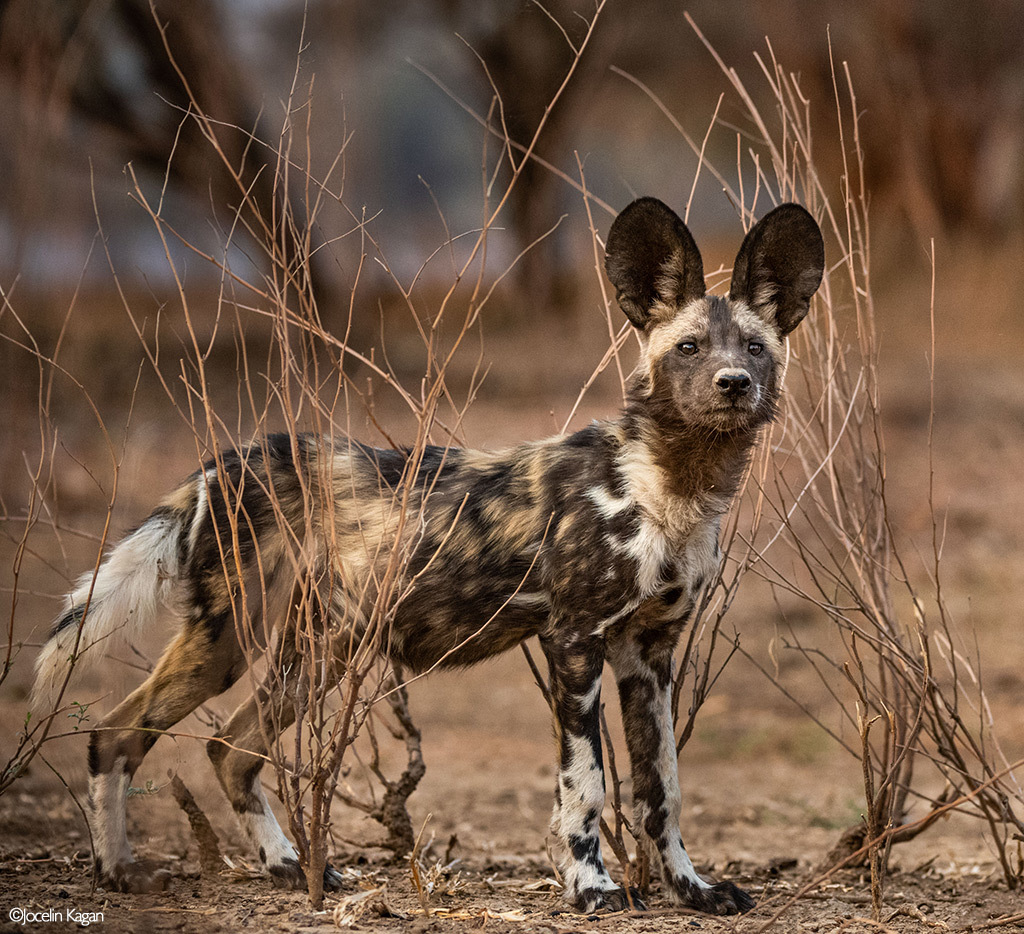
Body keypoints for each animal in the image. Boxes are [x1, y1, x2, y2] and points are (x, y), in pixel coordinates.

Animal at [34, 195, 823, 913]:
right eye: (689, 349)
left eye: (754, 348)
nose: (734, 385)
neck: (670, 485)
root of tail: (228, 459)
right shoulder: (575, 642)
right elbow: (587, 785)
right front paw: (591, 887)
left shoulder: (649, 654)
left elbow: (664, 788)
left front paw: (693, 890)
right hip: (233, 635)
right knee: (116, 734)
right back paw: (119, 874)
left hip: (316, 652)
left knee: (228, 748)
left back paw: (287, 867)